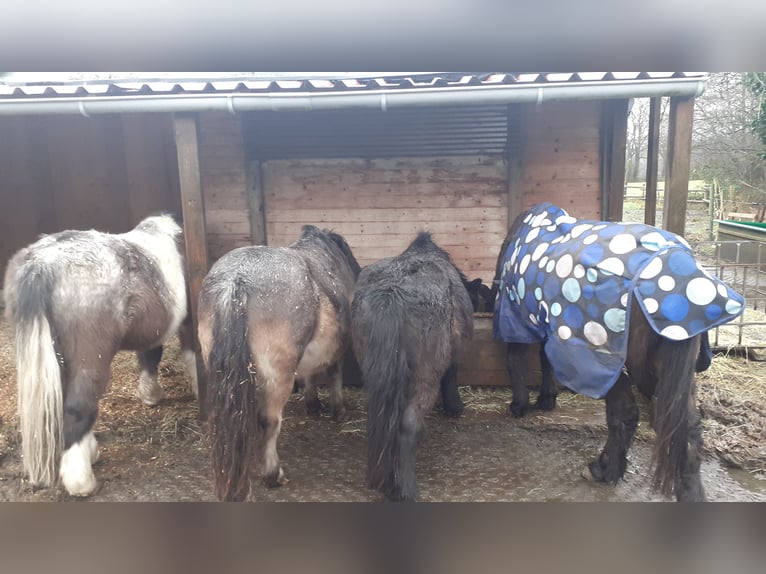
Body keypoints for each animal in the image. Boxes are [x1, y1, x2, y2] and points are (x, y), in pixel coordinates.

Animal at [3, 216, 195, 500]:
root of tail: (41, 265)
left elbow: (150, 355)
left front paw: (150, 395)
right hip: (90, 359)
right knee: (78, 408)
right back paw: (81, 482)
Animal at [201, 225, 364, 504]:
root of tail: (236, 280)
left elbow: (310, 374)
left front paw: (313, 404)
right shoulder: (337, 351)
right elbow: (333, 374)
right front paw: (337, 410)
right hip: (277, 376)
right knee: (268, 420)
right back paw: (272, 474)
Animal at [352, 232, 474, 502]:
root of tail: (392, 295)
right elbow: (451, 375)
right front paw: (454, 407)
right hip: (424, 378)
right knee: (408, 424)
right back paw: (405, 488)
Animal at [496, 205, 748, 502]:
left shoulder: (517, 316)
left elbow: (516, 360)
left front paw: (519, 405)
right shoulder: (548, 324)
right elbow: (545, 361)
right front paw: (546, 399)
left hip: (610, 360)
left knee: (626, 413)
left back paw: (605, 468)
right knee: (688, 431)